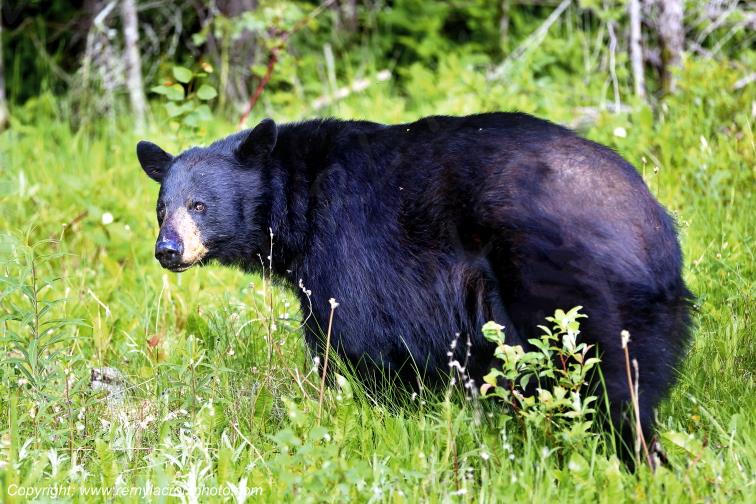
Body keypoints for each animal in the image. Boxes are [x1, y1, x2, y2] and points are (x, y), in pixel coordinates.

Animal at [136, 113, 691, 457]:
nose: (168, 250)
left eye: (200, 205)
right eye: (162, 208)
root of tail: (647, 221)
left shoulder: (350, 245)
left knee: (608, 377)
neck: (298, 204)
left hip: (564, 284)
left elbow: (352, 335)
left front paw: (371, 410)